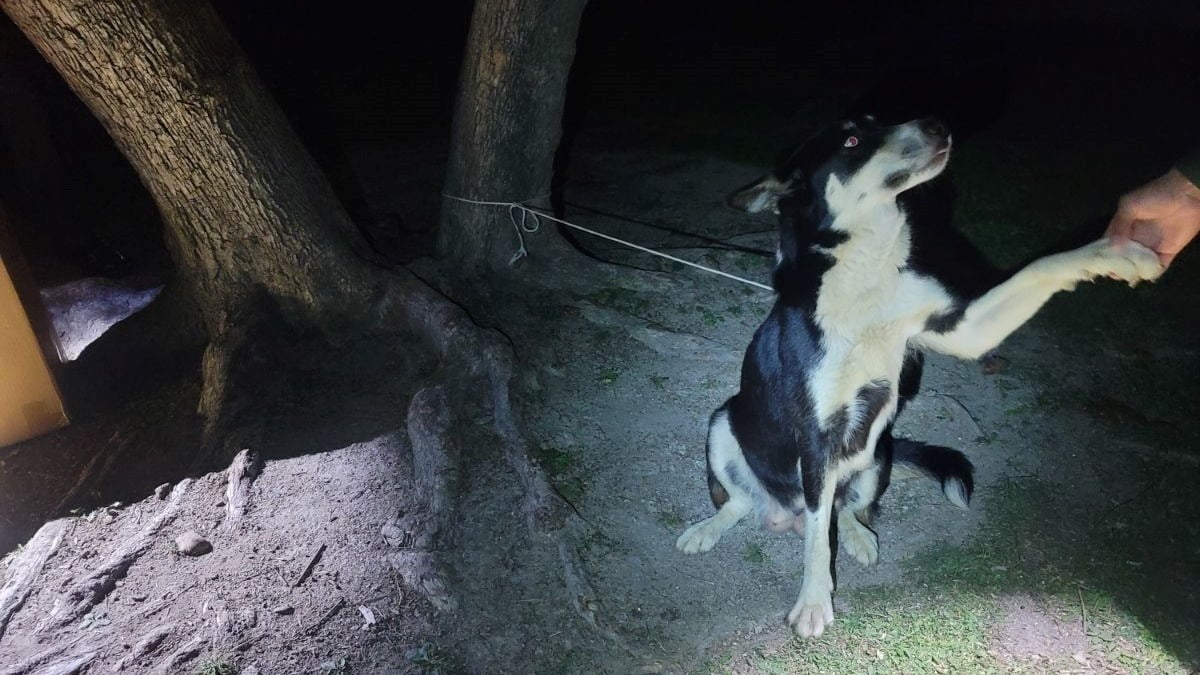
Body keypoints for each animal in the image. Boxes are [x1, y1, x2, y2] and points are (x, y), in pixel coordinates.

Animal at [676, 115, 1161, 634]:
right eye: (851, 140)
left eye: (876, 121)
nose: (937, 124)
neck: (863, 271)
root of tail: (781, 514)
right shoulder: (817, 433)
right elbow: (816, 539)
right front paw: (813, 602)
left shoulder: (963, 328)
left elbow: (1040, 266)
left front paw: (1118, 252)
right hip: (724, 423)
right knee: (750, 503)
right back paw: (707, 531)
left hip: (875, 456)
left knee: (847, 508)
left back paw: (858, 536)